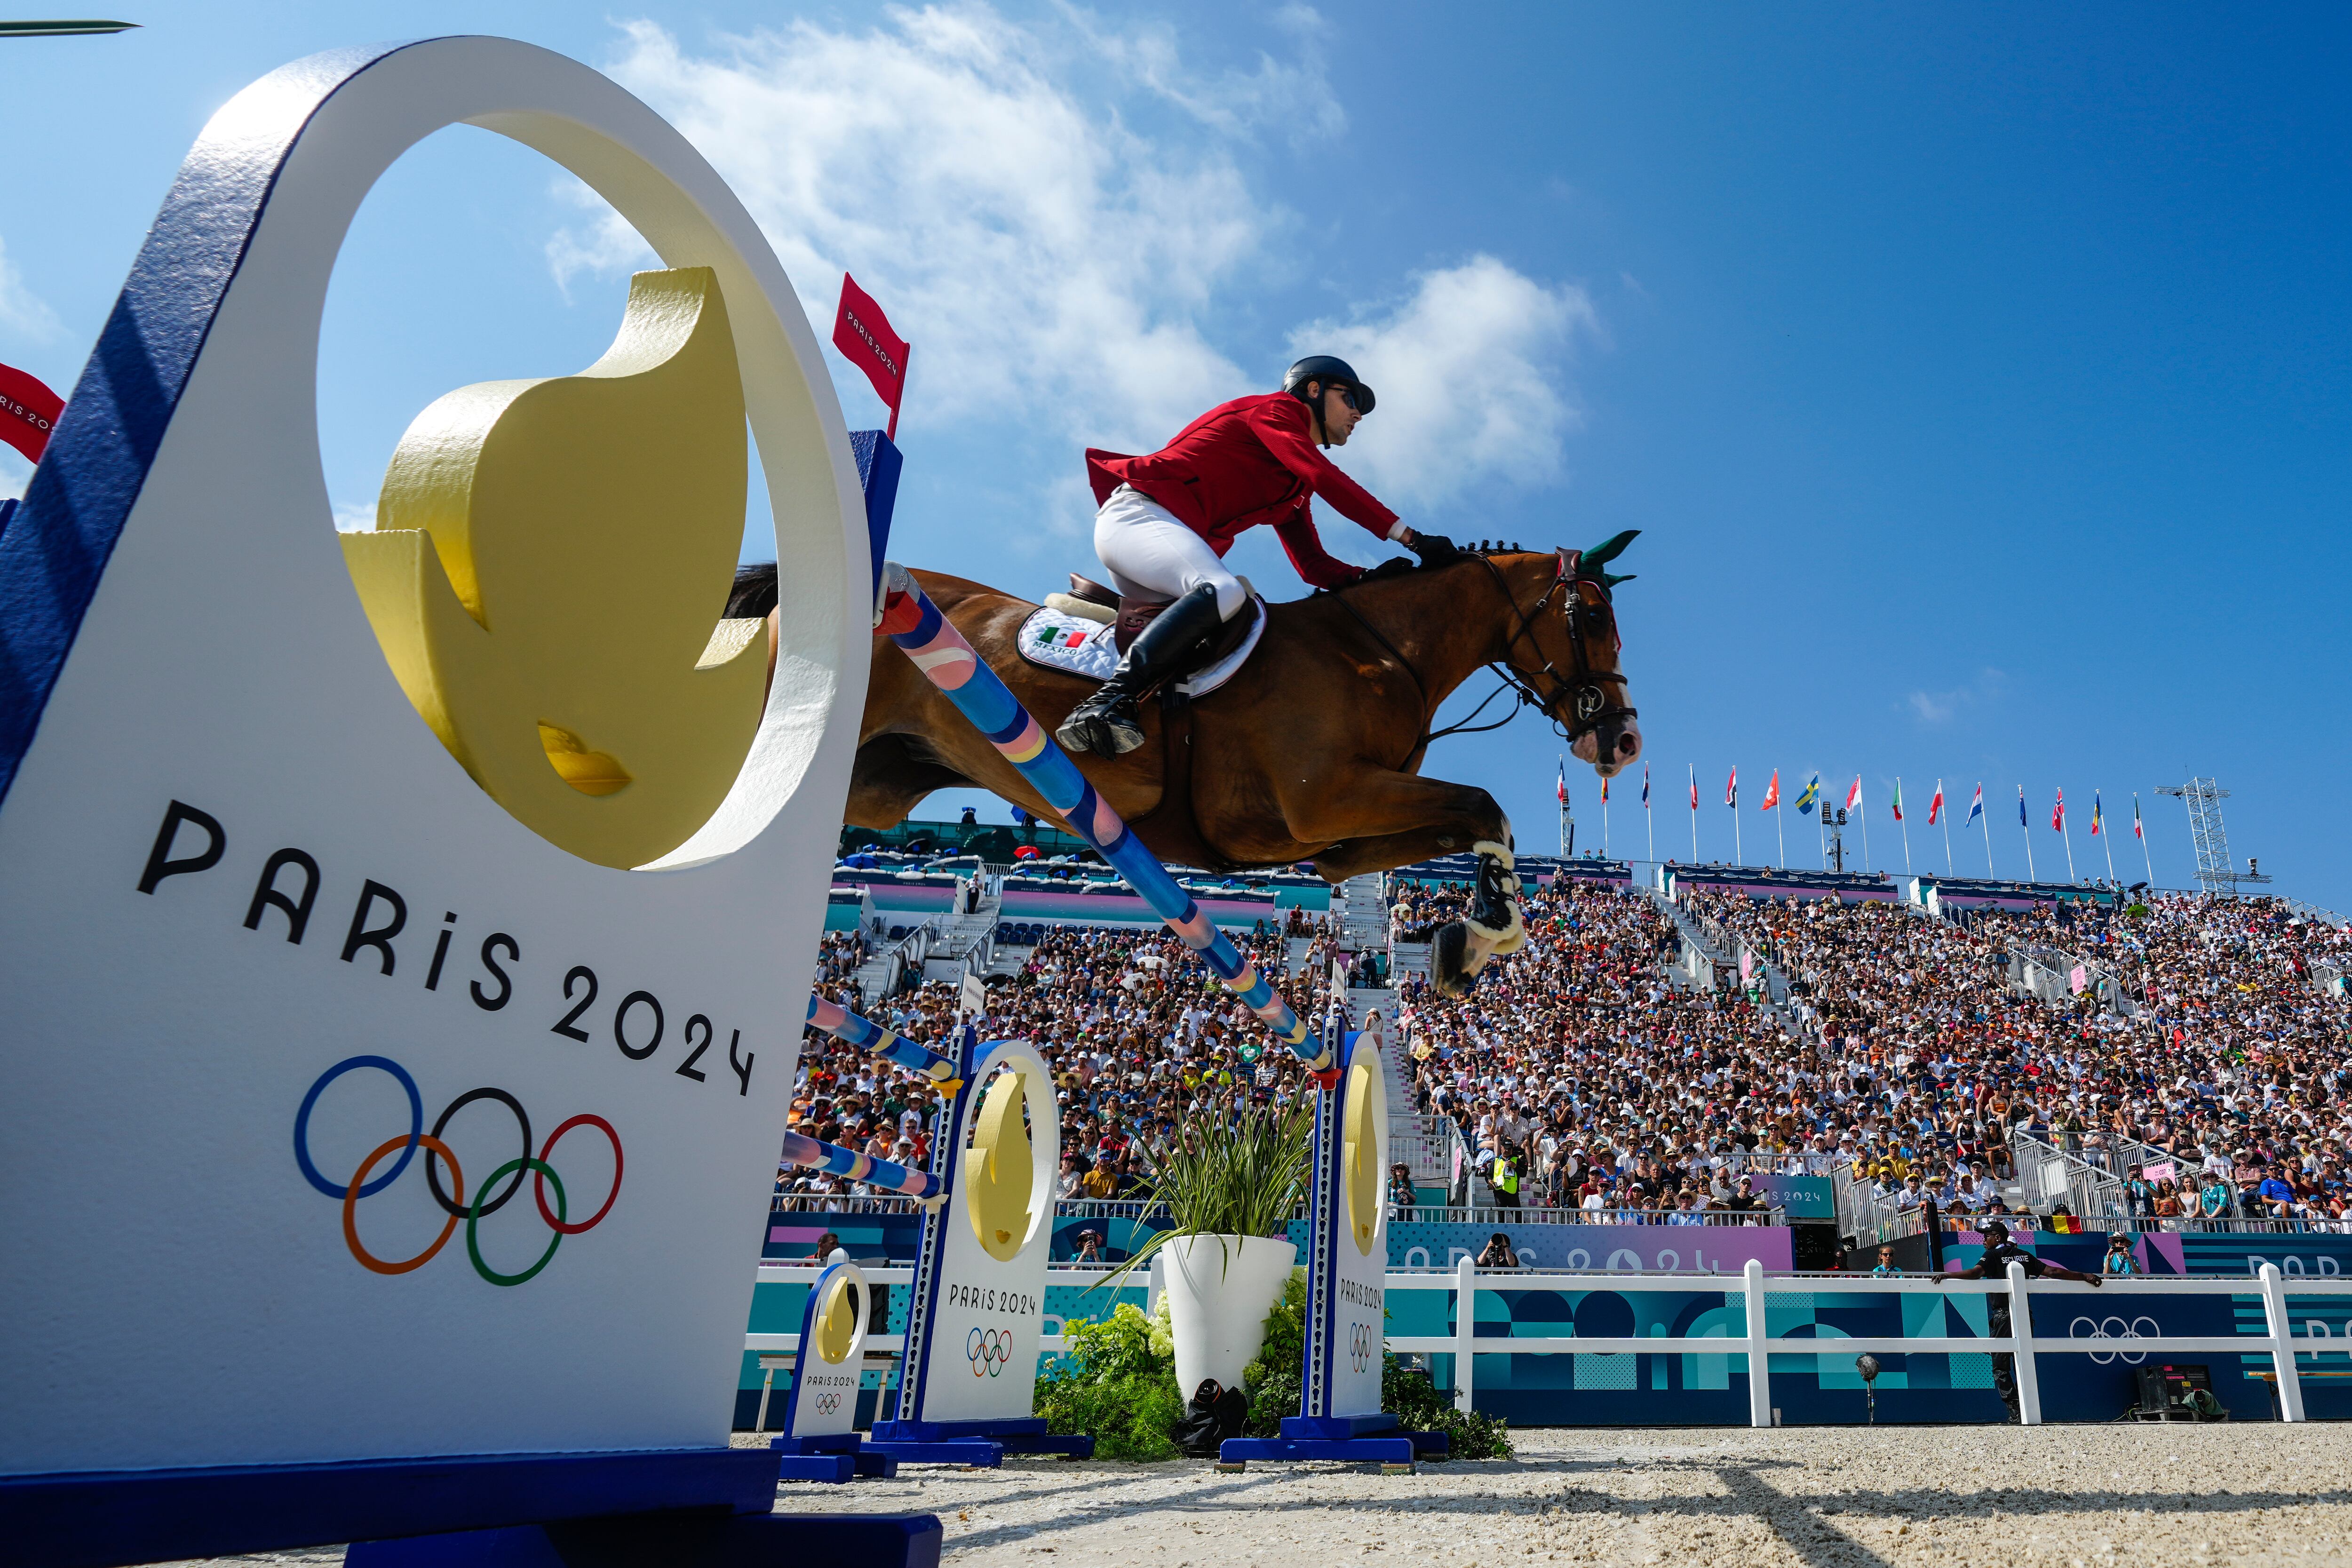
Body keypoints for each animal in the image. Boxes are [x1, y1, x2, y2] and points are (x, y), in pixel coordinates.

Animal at [856, 541, 1646, 992]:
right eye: (1593, 617)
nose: (1623, 742)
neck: (1380, 652)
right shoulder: (1325, 800)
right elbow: (1484, 804)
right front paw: (1481, 934)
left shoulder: (1334, 843)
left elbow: (1479, 822)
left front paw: (1474, 938)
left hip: (881, 782)